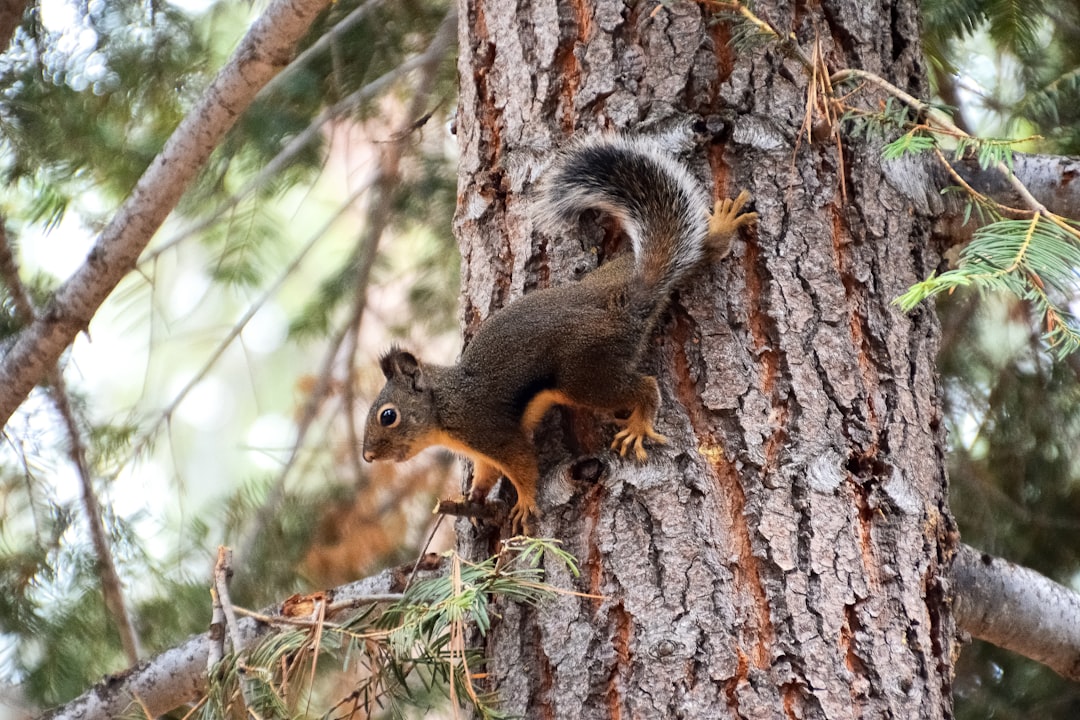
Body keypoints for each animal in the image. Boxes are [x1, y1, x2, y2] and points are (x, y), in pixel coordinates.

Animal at [358, 134, 756, 533]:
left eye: (388, 416)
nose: (368, 456)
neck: (443, 404)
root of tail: (624, 301)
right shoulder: (483, 452)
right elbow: (487, 474)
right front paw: (473, 499)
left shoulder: (490, 430)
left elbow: (522, 464)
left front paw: (524, 503)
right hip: (616, 274)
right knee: (690, 253)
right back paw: (719, 231)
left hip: (583, 374)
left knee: (644, 386)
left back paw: (640, 423)